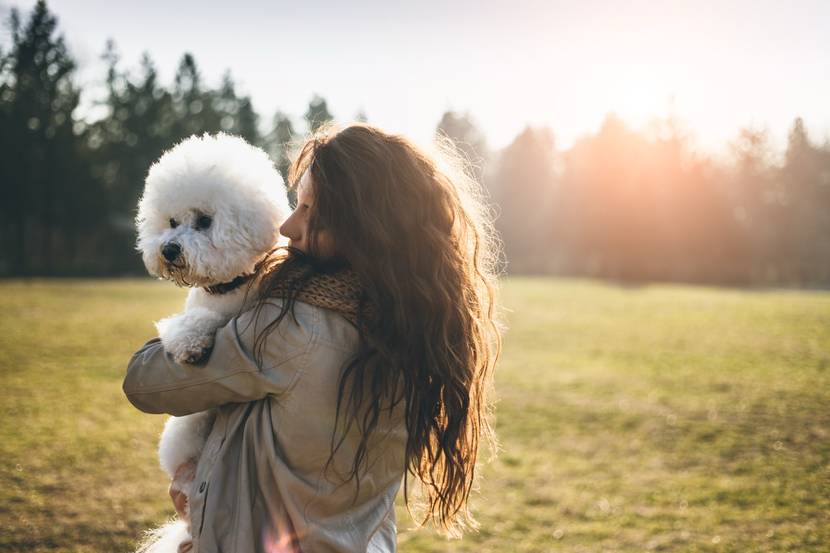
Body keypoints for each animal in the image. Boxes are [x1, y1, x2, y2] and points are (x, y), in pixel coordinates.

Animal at [135, 133, 290, 552]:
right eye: (172, 222)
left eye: (205, 221)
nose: (168, 249)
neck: (230, 287)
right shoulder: (201, 310)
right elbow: (192, 321)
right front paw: (190, 342)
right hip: (186, 431)